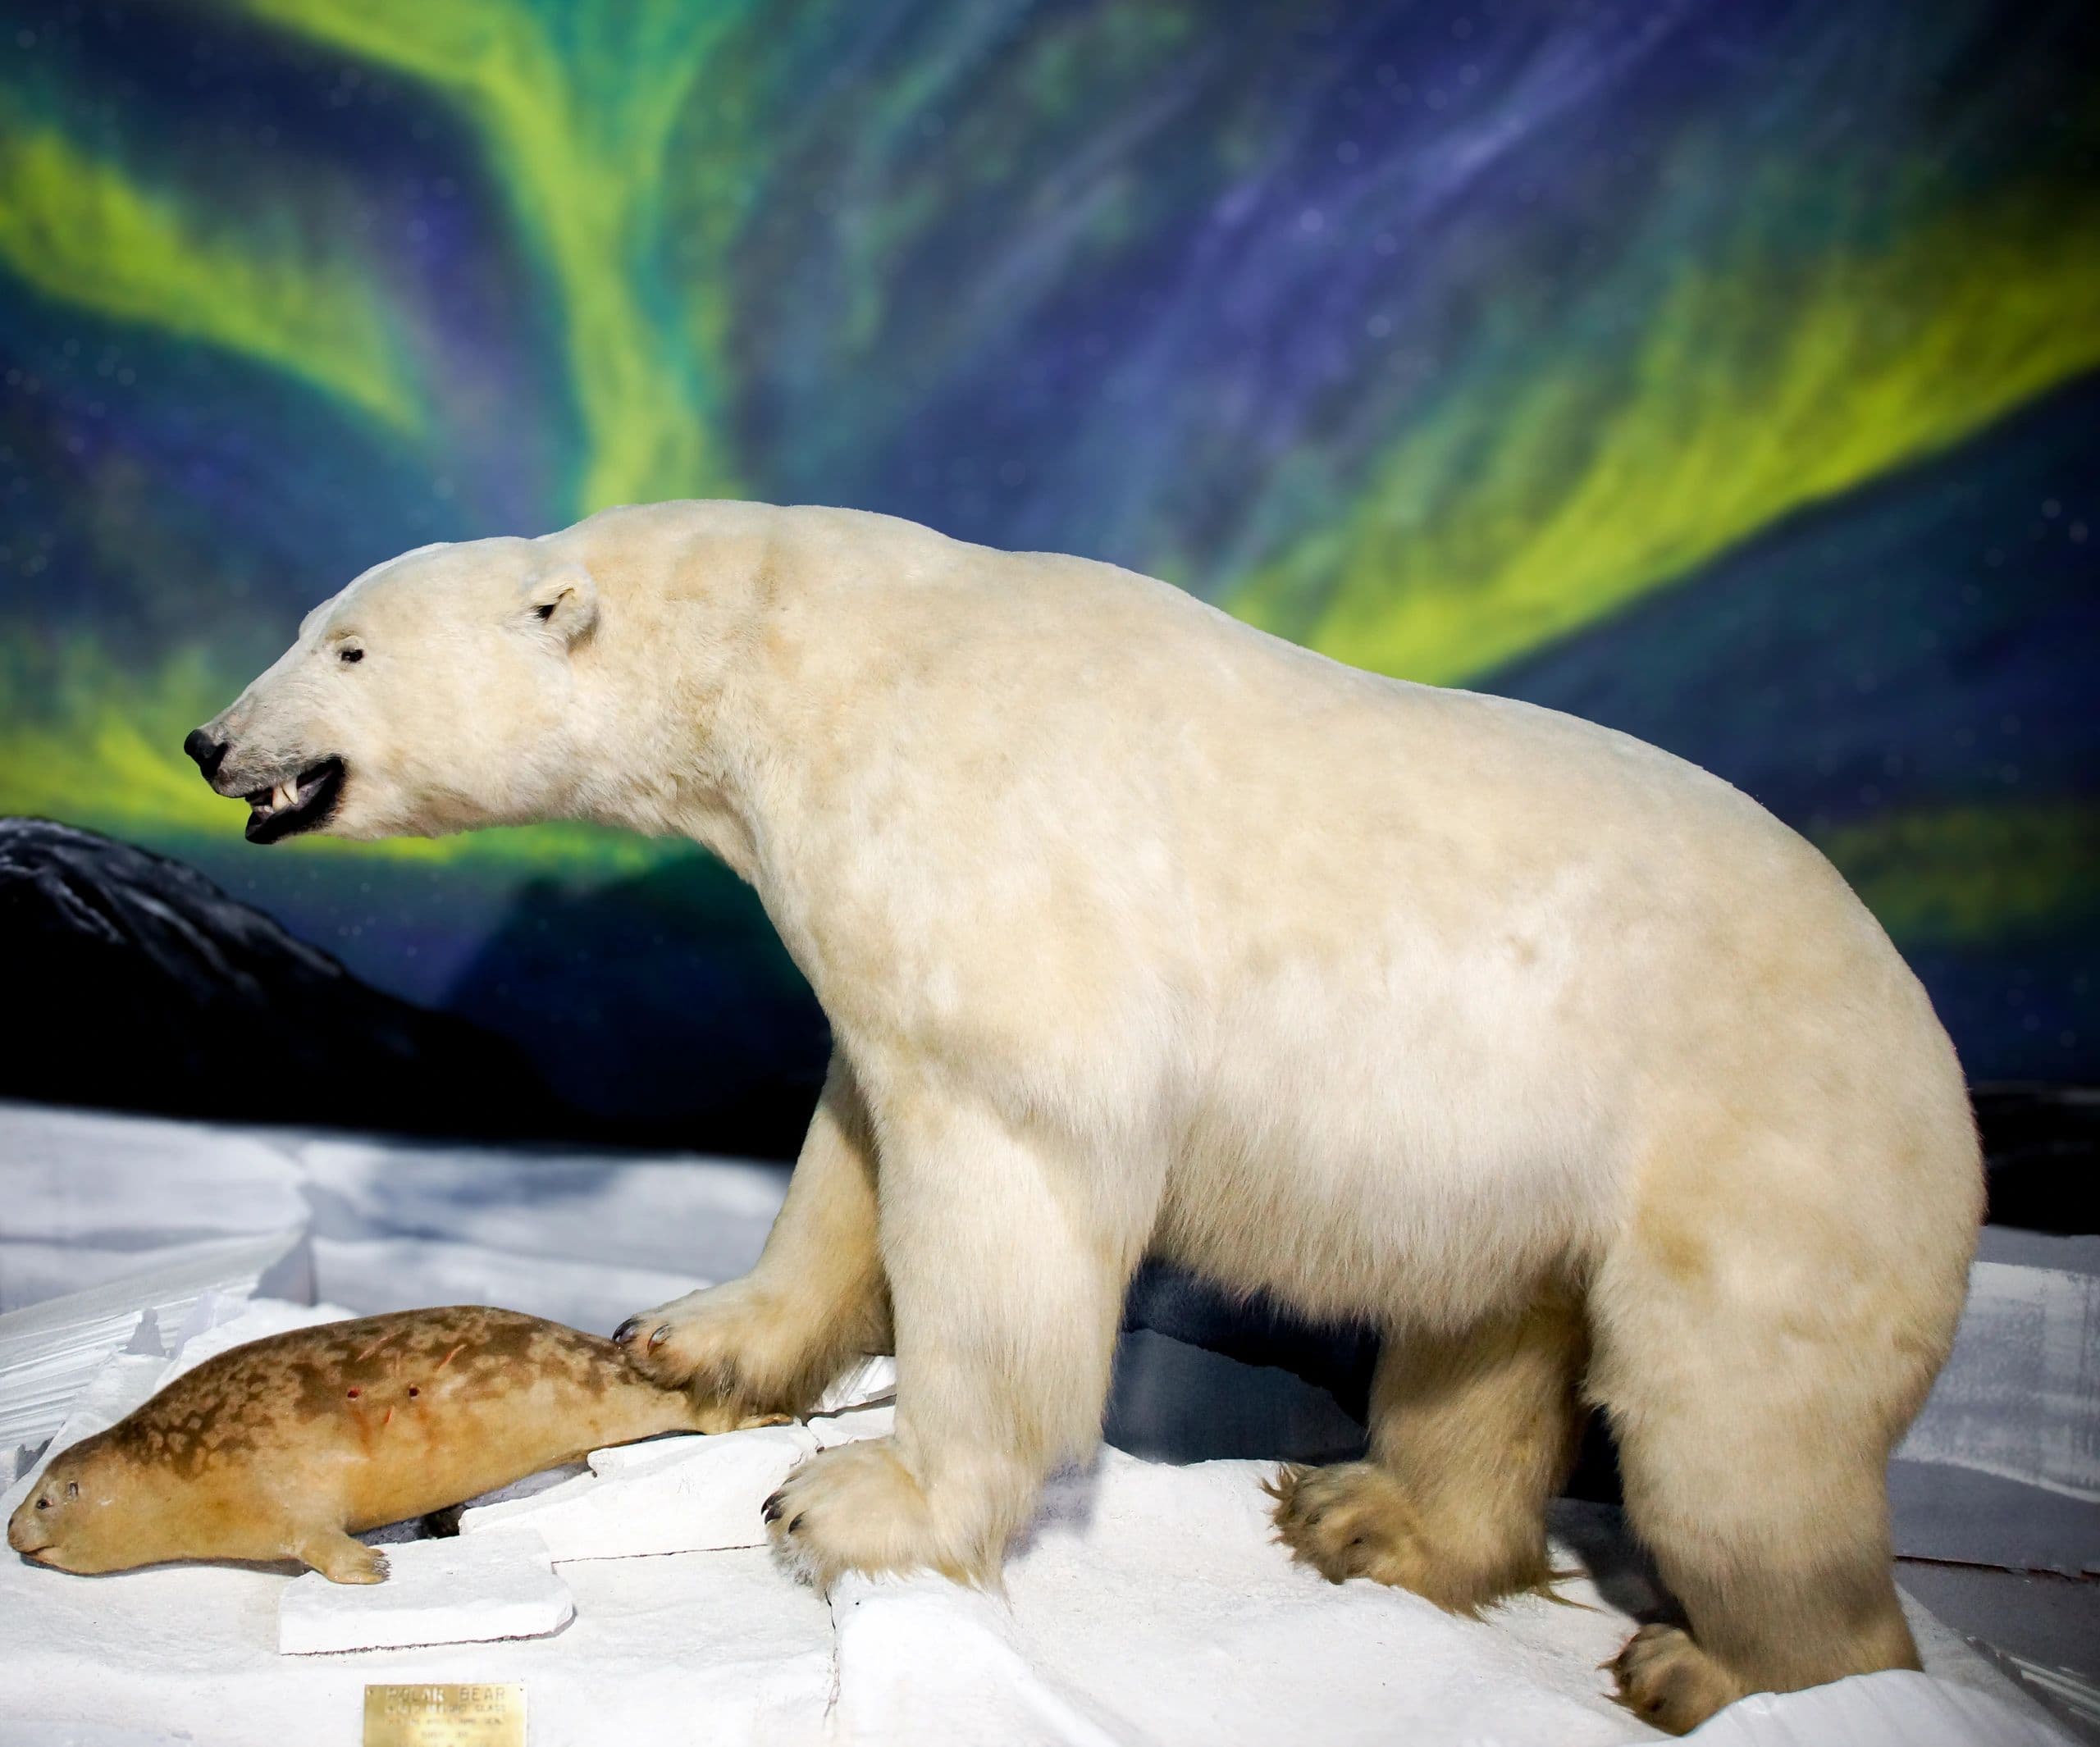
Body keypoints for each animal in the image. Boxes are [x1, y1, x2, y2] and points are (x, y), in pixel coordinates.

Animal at [186, 500, 1981, 1733]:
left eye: (345, 647)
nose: (209, 739)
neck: (795, 657)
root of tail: (1929, 1054)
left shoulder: (997, 889)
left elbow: (1005, 1188)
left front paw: (857, 1502)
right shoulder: (862, 915)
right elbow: (848, 1140)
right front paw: (696, 1340)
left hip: (1760, 1170)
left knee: (1737, 1452)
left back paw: (1718, 1666)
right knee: (1479, 1345)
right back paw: (1368, 1516)